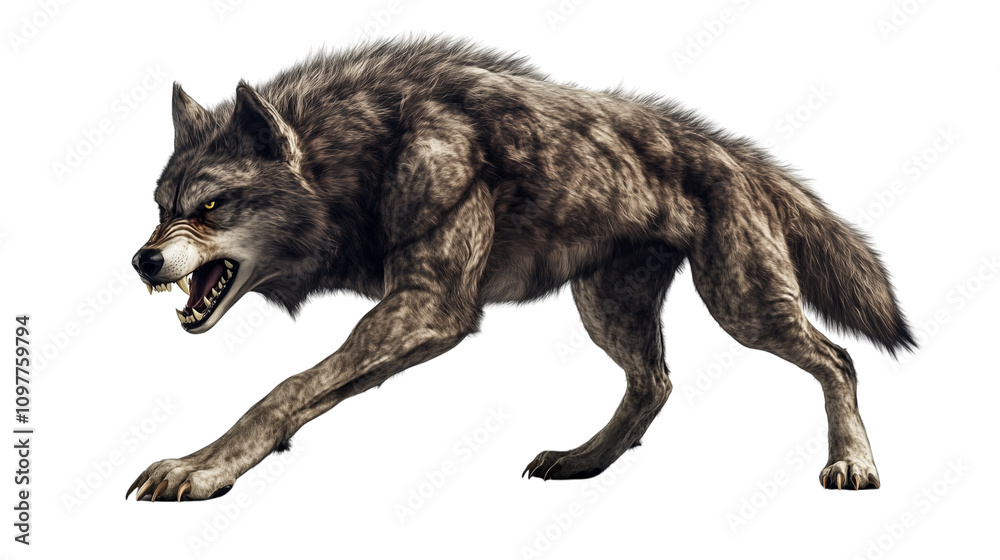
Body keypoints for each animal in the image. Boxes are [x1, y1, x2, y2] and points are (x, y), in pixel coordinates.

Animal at [125, 37, 914, 502]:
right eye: (160, 207)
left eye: (212, 205)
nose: (142, 260)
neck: (361, 160)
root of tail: (731, 150)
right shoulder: (415, 312)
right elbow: (304, 391)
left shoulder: (429, 308)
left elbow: (286, 388)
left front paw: (201, 468)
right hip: (607, 309)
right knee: (654, 382)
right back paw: (583, 462)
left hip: (742, 305)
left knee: (837, 358)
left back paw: (855, 464)